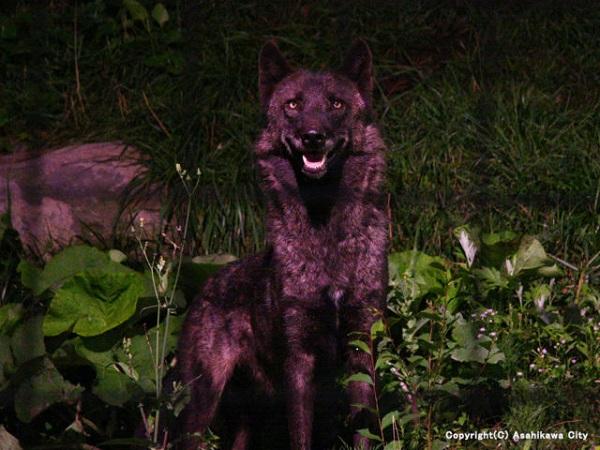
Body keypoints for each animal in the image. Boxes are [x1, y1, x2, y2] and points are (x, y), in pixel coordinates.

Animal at [177, 39, 390, 450]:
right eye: (293, 105)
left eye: (336, 104)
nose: (312, 135)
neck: (325, 237)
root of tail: (208, 284)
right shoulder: (299, 360)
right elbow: (301, 437)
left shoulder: (361, 348)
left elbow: (365, 427)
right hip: (201, 405)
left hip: (248, 419)